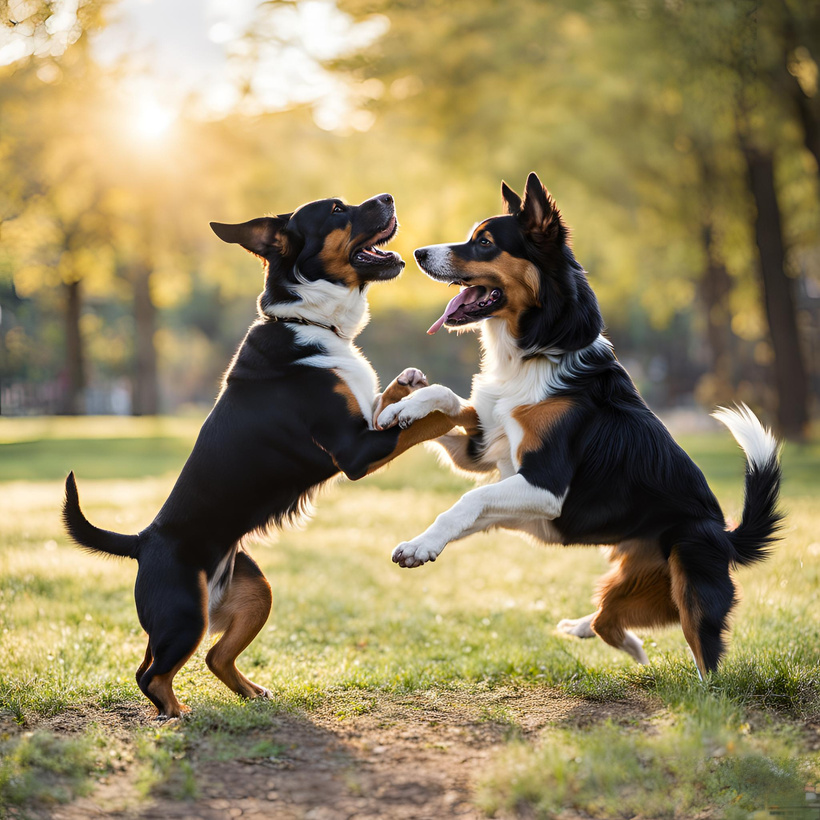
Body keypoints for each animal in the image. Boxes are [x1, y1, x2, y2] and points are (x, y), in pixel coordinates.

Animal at [62, 194, 468, 716]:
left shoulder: (369, 423)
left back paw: (252, 693)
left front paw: (411, 383)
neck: (308, 322)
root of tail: (143, 540)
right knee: (151, 675)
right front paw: (459, 409)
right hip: (183, 615)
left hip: (254, 593)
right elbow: (430, 419)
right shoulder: (354, 450)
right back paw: (177, 715)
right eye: (337, 209)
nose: (387, 198)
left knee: (211, 657)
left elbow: (393, 402)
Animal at [378, 175, 780, 680]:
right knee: (610, 621)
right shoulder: (483, 450)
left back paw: (694, 690)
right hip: (626, 585)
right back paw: (599, 634)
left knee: (707, 662)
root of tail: (726, 536)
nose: (416, 253)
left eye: (485, 242)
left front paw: (422, 546)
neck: (536, 352)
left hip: (692, 585)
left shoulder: (544, 484)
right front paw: (404, 406)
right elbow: (449, 401)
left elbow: (467, 501)